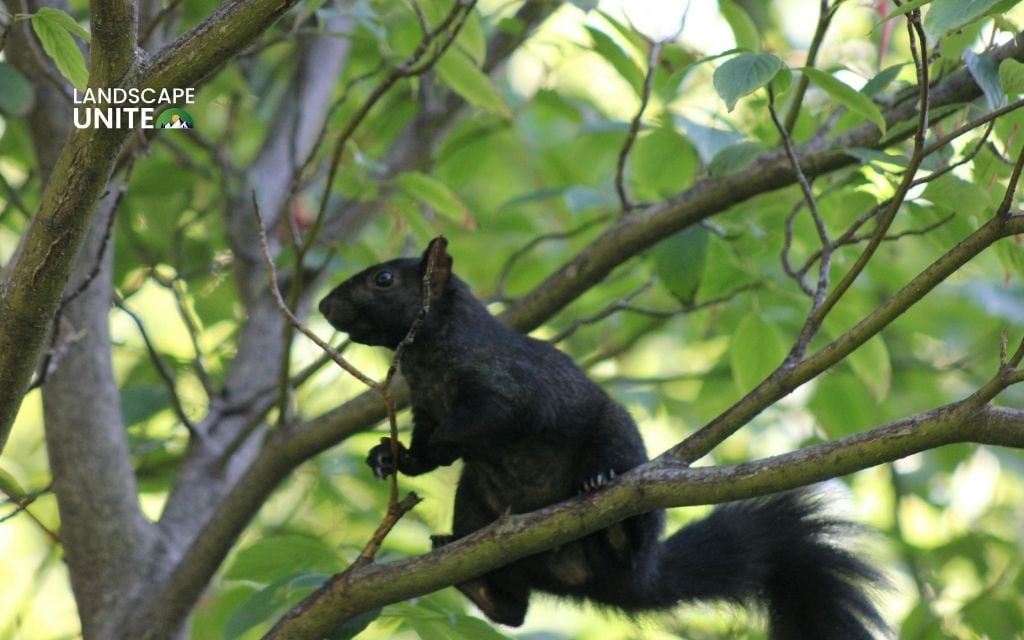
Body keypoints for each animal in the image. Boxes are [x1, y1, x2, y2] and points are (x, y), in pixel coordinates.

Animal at [318, 237, 890, 639]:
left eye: (384, 279)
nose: (323, 306)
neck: (423, 357)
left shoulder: (502, 389)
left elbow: (480, 423)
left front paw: (432, 452)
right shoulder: (423, 408)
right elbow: (422, 441)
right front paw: (392, 457)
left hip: (618, 448)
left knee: (622, 541)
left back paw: (607, 509)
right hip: (477, 502)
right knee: (515, 609)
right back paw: (475, 578)